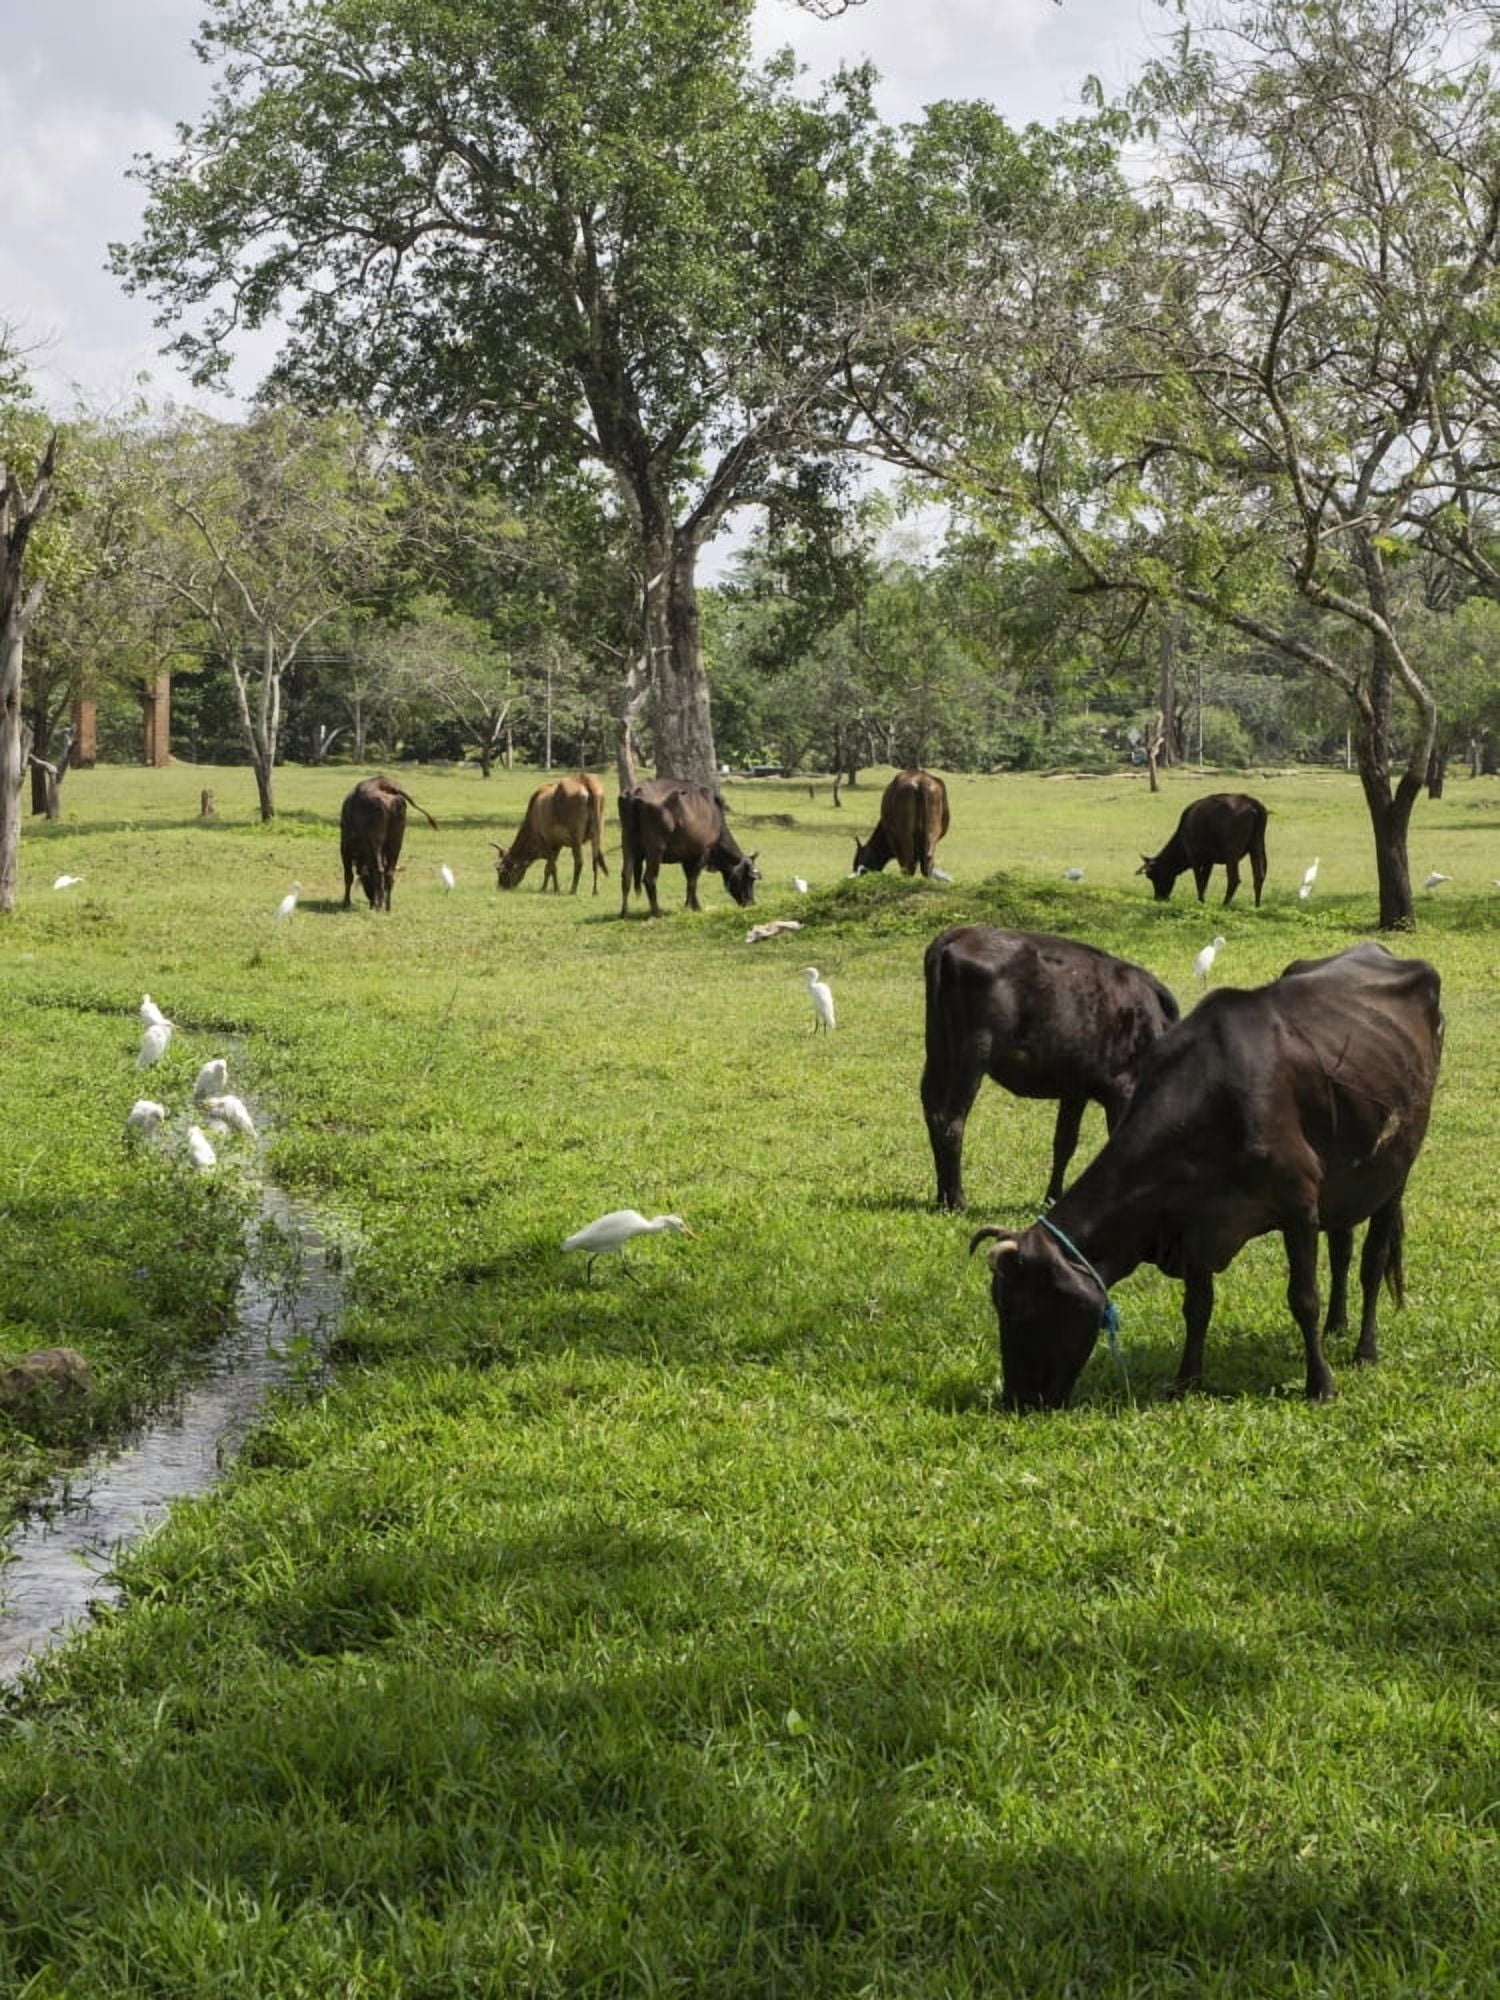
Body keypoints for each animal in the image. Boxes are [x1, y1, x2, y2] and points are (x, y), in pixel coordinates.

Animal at [339, 774, 439, 912]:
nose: (372, 902)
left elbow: (348, 877)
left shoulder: (345, 849)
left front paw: (346, 902)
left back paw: (380, 906)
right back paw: (387, 907)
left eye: (366, 882)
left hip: (375, 843)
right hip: (396, 842)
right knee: (389, 872)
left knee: (379, 870)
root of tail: (387, 786)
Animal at [618, 779, 758, 917]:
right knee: (649, 879)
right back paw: (657, 912)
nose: (752, 903)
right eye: (750, 878)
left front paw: (692, 906)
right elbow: (692, 882)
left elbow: (689, 880)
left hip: (627, 842)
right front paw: (691, 907)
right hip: (655, 848)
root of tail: (636, 791)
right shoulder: (703, 853)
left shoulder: (686, 857)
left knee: (626, 877)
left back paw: (624, 913)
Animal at [922, 928, 1180, 1212]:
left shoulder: (1076, 1090)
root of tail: (960, 933)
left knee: (933, 1112)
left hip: (938, 1050)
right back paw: (957, 1200)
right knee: (951, 1121)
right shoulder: (1122, 1088)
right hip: (972, 1054)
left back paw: (941, 1197)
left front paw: (1052, 1198)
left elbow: (1065, 1143)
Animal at [969, 943, 1443, 1410]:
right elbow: (1197, 1306)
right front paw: (1187, 1380)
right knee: (1342, 1249)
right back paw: (1336, 1327)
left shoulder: (1298, 1205)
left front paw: (1321, 1384)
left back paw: (1364, 1348)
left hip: (1394, 1172)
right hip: (1346, 1182)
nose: (1016, 1400)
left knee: (1372, 1262)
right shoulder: (1190, 1221)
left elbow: (1304, 1298)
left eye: (1022, 1309)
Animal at [1138, 792, 1269, 906]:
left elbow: (1199, 881)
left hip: (1232, 852)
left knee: (1234, 879)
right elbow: (1205, 881)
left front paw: (1201, 900)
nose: (1158, 898)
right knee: (1259, 876)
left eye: (1153, 875)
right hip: (1257, 845)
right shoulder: (1209, 861)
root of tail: (1252, 803)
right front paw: (1202, 899)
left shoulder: (1194, 857)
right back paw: (1257, 905)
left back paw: (1225, 904)